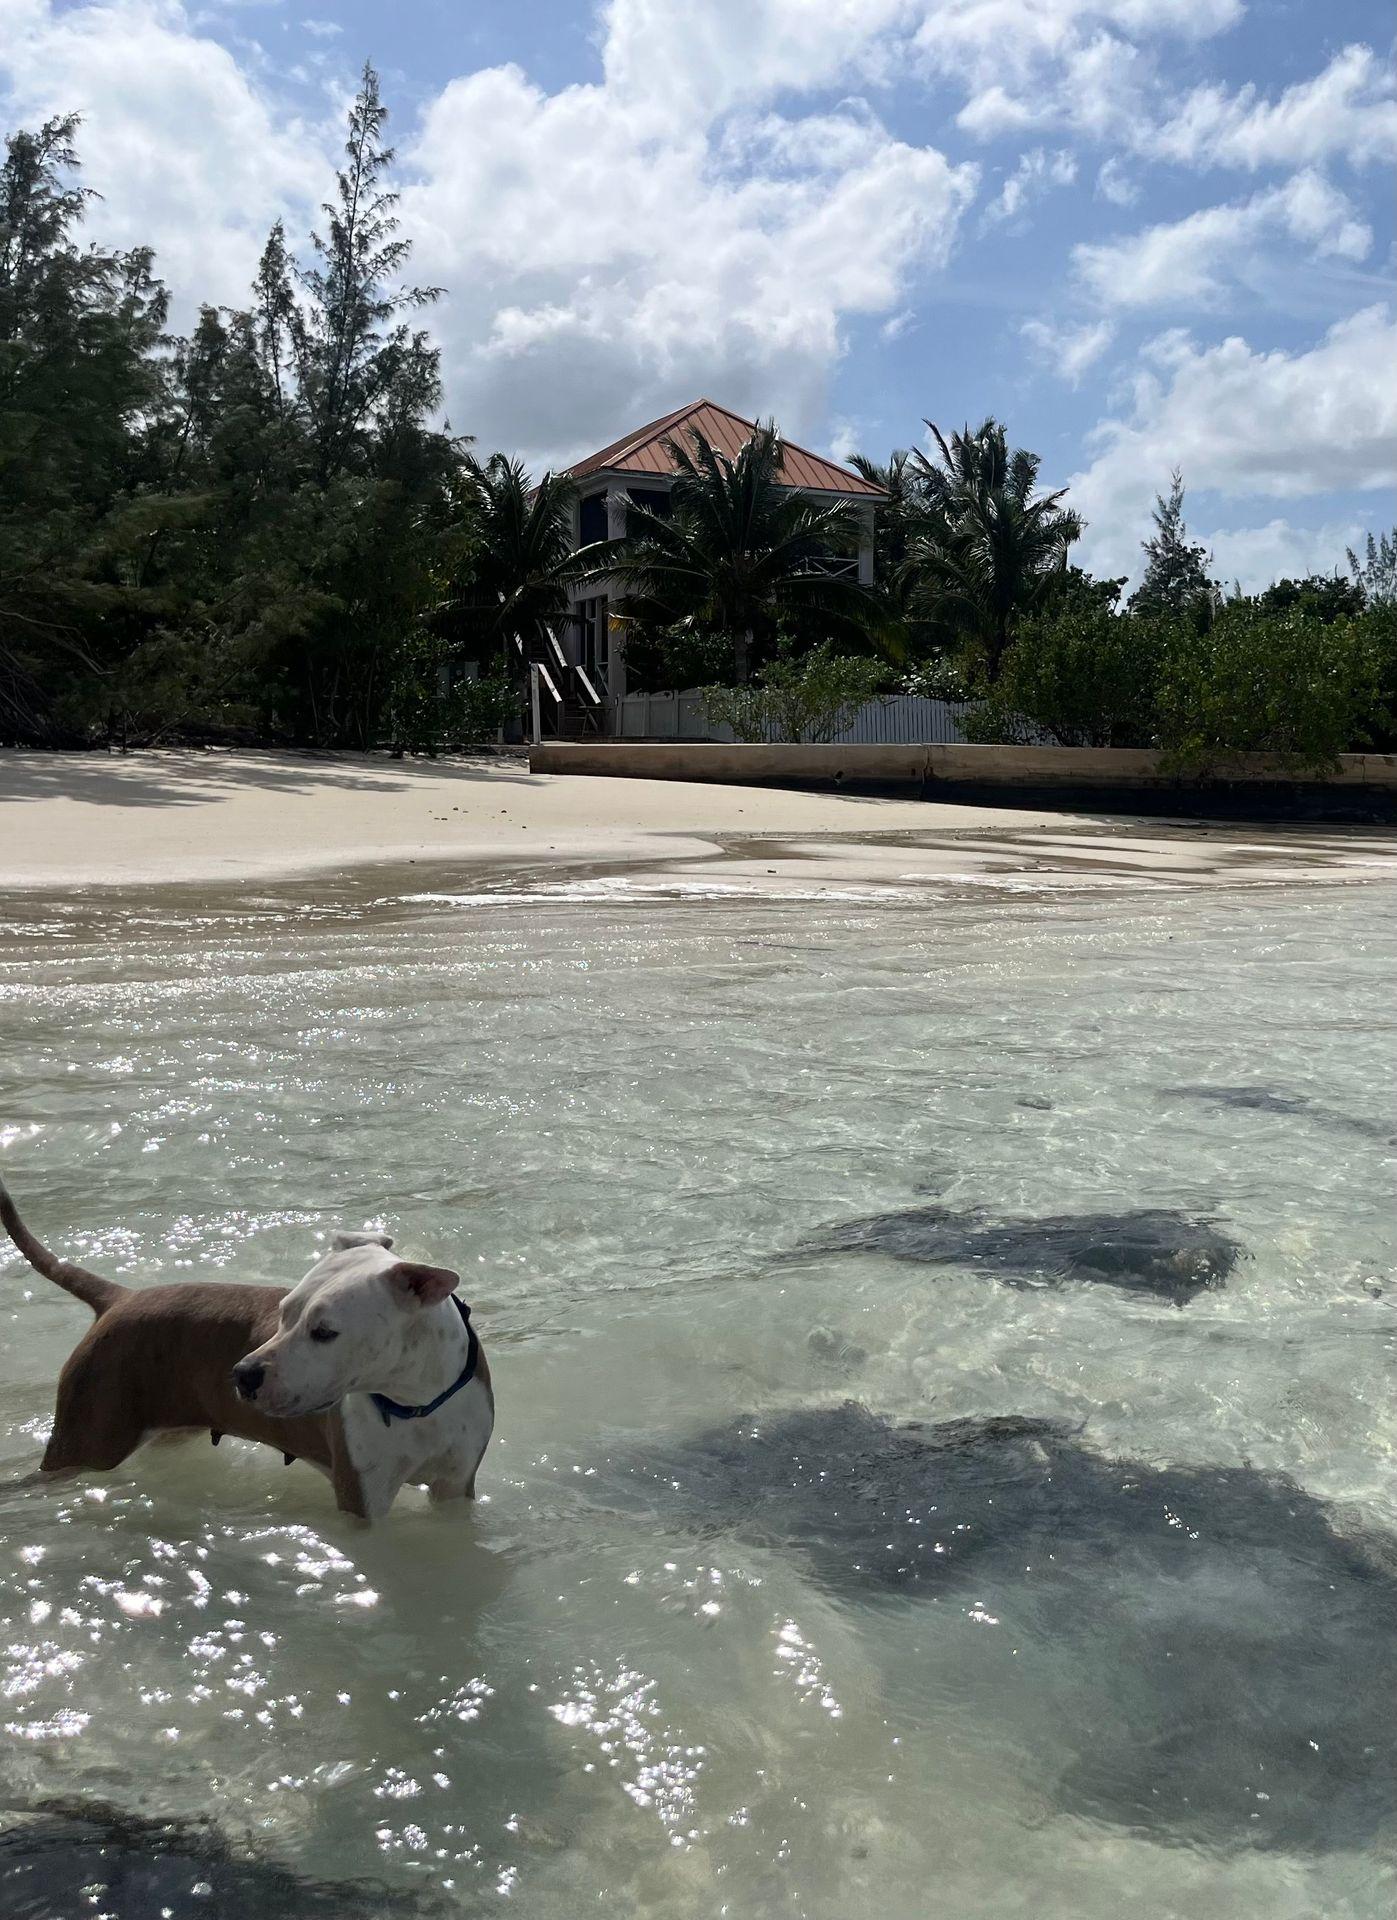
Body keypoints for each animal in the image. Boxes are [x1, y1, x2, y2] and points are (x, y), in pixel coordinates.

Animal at [0, 1175, 495, 1520]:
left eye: (324, 1331)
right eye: (284, 1311)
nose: (243, 1374)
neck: (415, 1400)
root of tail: (120, 1297)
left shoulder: (456, 1485)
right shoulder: (362, 1500)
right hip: (83, 1444)